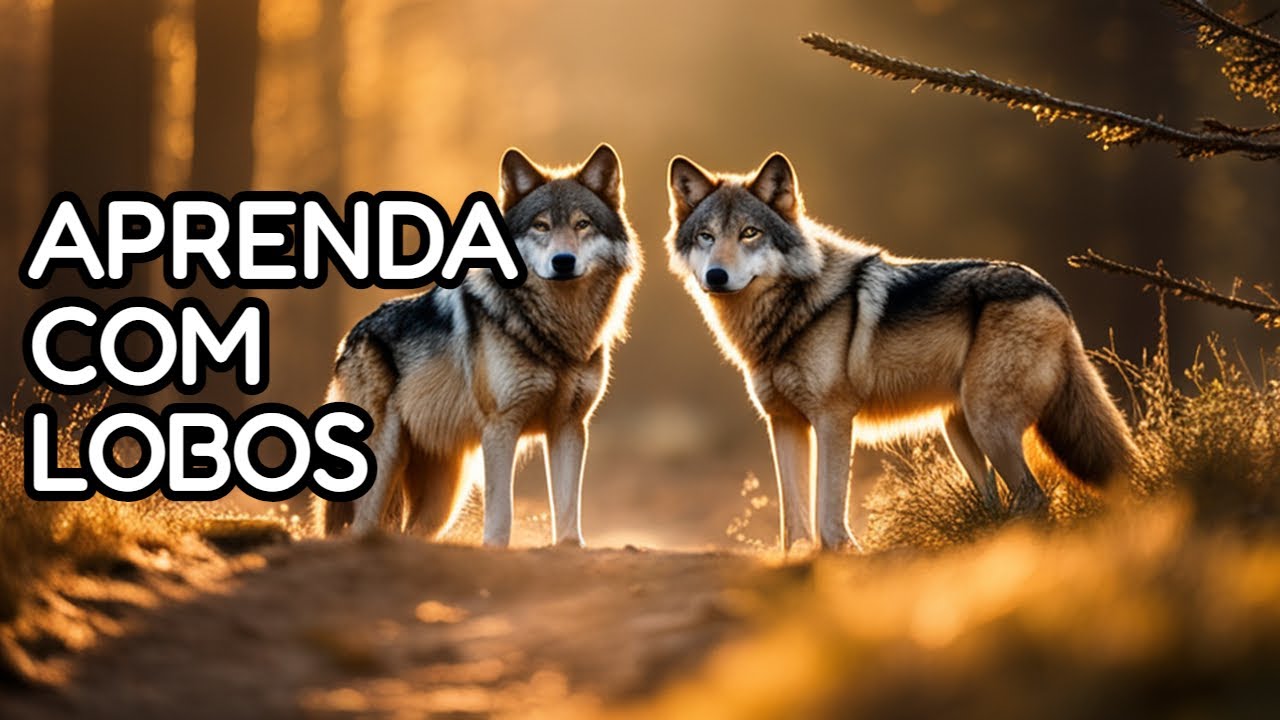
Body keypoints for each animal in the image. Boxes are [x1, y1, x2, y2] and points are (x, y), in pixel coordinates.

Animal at [315, 144, 641, 546]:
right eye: (541, 226)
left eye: (583, 224)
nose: (563, 262)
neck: (553, 332)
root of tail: (350, 337)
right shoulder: (501, 428)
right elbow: (502, 513)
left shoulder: (570, 426)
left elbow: (567, 512)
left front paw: (569, 549)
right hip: (386, 464)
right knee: (359, 528)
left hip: (442, 500)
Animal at [665, 152, 1133, 551]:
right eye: (706, 236)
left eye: (749, 233)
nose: (716, 275)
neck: (787, 315)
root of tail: (1051, 292)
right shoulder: (783, 423)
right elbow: (793, 523)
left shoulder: (834, 419)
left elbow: (828, 515)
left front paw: (841, 558)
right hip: (961, 433)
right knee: (998, 504)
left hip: (990, 427)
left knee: (1034, 500)